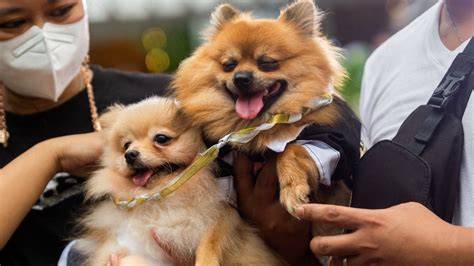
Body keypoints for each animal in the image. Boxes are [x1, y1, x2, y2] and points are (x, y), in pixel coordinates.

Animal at [75, 97, 280, 266]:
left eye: (161, 138)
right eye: (126, 145)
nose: (130, 155)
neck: (159, 195)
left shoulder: (225, 213)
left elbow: (212, 239)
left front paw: (206, 260)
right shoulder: (126, 244)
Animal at [174, 0, 360, 228]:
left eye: (267, 62)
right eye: (229, 65)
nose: (241, 78)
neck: (257, 126)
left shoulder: (330, 140)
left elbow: (292, 149)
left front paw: (292, 190)